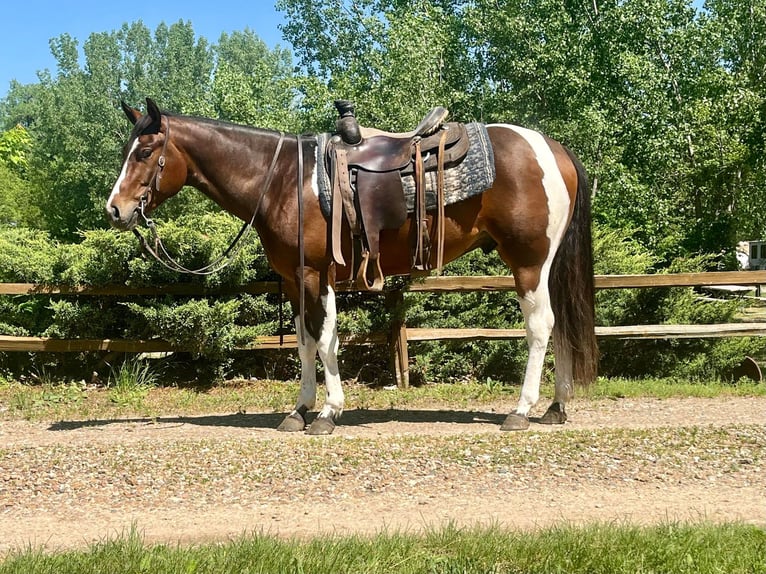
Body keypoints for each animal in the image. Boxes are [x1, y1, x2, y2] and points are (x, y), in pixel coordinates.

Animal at [106, 98, 598, 435]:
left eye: (144, 152)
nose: (114, 209)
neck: (282, 179)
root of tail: (553, 149)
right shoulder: (294, 279)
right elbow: (305, 343)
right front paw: (298, 410)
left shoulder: (316, 273)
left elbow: (325, 341)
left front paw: (328, 412)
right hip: (547, 265)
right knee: (559, 324)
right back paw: (556, 407)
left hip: (529, 261)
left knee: (539, 327)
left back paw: (522, 410)